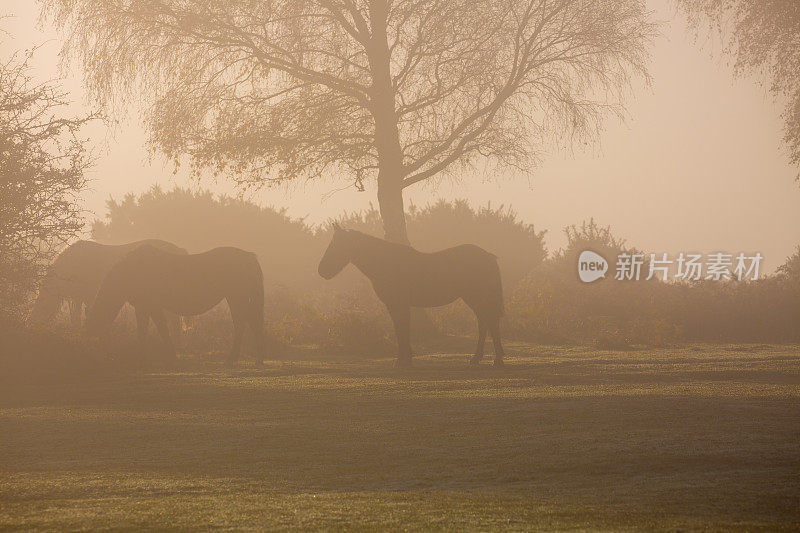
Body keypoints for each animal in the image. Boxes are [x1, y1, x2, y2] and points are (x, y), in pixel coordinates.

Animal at [86, 243, 266, 364]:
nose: (93, 353)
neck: (131, 271)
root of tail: (249, 258)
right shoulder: (144, 307)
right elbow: (145, 330)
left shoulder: (152, 306)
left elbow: (159, 329)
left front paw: (163, 356)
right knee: (253, 323)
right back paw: (257, 359)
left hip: (236, 298)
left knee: (241, 324)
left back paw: (232, 358)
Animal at [316, 223, 504, 366]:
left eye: (336, 245)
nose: (322, 270)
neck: (387, 263)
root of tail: (488, 256)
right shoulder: (397, 305)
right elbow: (402, 328)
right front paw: (406, 358)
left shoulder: (397, 304)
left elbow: (401, 329)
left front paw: (402, 360)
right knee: (485, 323)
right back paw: (479, 358)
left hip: (477, 297)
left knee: (490, 322)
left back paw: (495, 360)